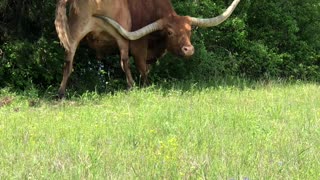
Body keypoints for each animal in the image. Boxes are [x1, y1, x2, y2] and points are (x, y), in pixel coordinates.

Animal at [55, 0, 240, 97]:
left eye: (189, 30)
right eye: (170, 32)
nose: (189, 50)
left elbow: (147, 68)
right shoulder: (139, 45)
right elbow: (142, 67)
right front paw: (146, 86)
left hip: (72, 35)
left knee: (67, 62)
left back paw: (61, 92)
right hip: (119, 36)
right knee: (124, 62)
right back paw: (131, 86)